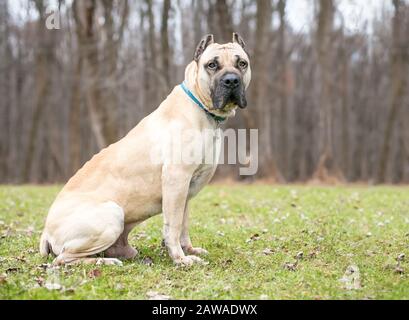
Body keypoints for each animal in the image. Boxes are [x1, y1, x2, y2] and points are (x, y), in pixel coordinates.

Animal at [41, 33, 252, 266]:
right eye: (212, 65)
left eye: (242, 63)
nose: (231, 80)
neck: (201, 108)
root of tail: (46, 232)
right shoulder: (176, 180)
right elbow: (174, 225)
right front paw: (180, 258)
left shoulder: (186, 190)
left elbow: (184, 223)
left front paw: (188, 249)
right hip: (112, 214)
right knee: (63, 259)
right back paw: (106, 262)